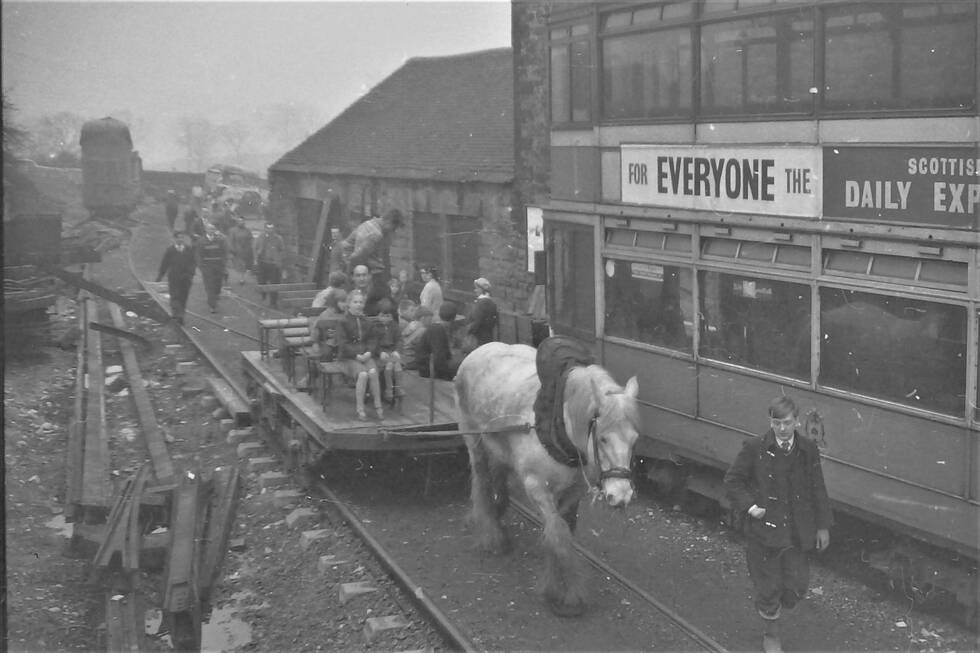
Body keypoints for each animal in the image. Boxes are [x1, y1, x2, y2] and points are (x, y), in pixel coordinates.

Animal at [454, 342, 640, 616]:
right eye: (603, 438)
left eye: (634, 439)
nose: (621, 495)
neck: (559, 427)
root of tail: (478, 350)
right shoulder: (537, 487)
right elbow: (559, 536)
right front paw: (566, 594)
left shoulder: (572, 492)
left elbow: (560, 532)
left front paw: (558, 584)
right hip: (473, 440)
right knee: (482, 481)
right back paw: (491, 533)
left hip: (499, 447)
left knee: (498, 477)